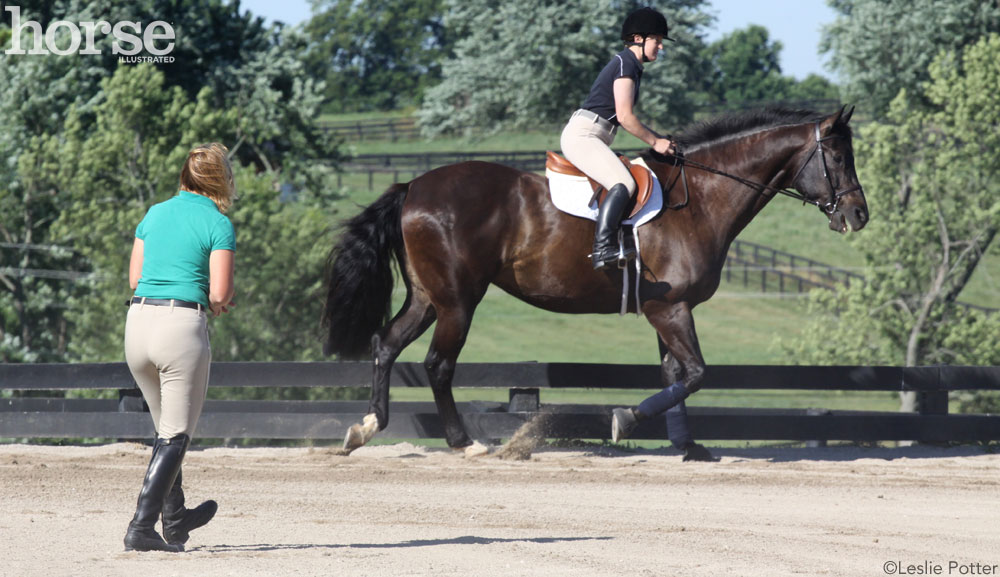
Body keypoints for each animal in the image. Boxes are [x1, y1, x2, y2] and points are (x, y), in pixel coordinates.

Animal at [322, 106, 868, 452]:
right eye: (839, 158)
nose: (859, 216)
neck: (702, 197)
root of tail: (414, 185)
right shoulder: (669, 308)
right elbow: (694, 374)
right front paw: (626, 420)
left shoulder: (668, 309)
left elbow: (676, 375)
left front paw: (688, 445)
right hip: (458, 300)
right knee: (438, 364)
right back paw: (462, 442)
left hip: (427, 296)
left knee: (387, 344)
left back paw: (367, 428)